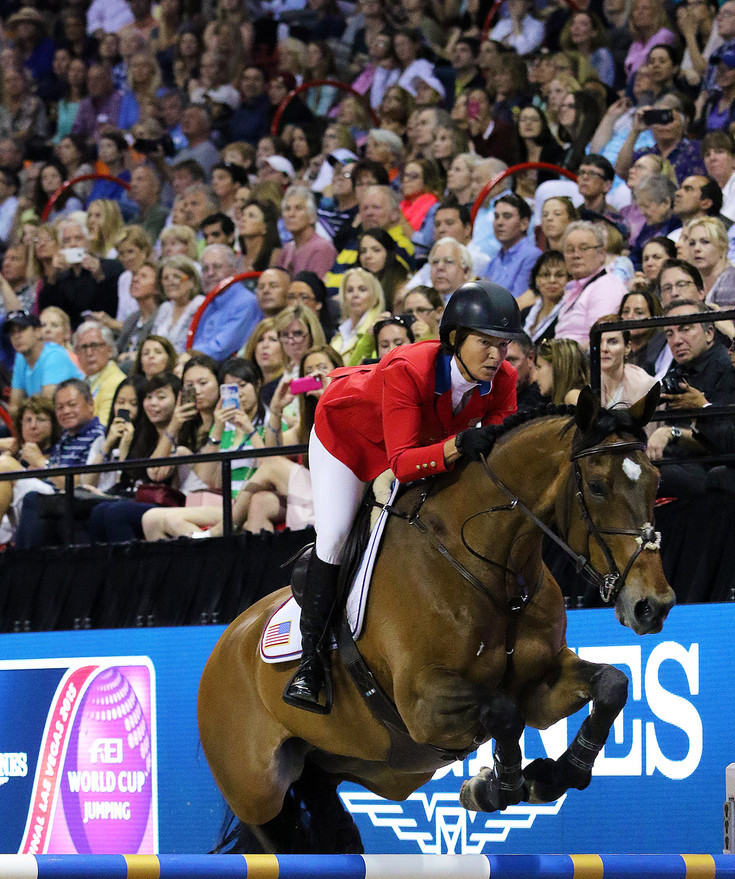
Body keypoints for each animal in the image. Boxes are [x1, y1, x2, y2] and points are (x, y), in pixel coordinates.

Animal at [198, 390, 676, 852]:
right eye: (596, 486)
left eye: (656, 481)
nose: (653, 605)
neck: (491, 568)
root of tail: (225, 644)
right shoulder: (423, 704)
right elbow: (503, 711)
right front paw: (495, 787)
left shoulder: (540, 686)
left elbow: (612, 684)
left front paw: (557, 775)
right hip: (261, 801)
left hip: (328, 773)